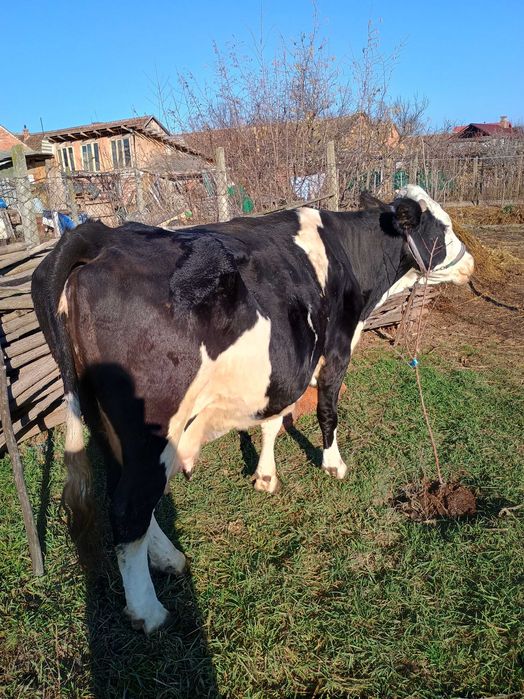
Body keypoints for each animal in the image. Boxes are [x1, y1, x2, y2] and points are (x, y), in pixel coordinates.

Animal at [31, 184, 473, 633]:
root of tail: (100, 236)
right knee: (130, 504)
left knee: (123, 492)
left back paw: (169, 558)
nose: (471, 263)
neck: (350, 257)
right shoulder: (335, 351)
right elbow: (328, 412)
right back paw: (148, 610)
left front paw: (265, 475)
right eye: (443, 228)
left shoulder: (283, 369)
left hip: (103, 420)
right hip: (151, 424)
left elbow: (272, 423)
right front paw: (333, 464)